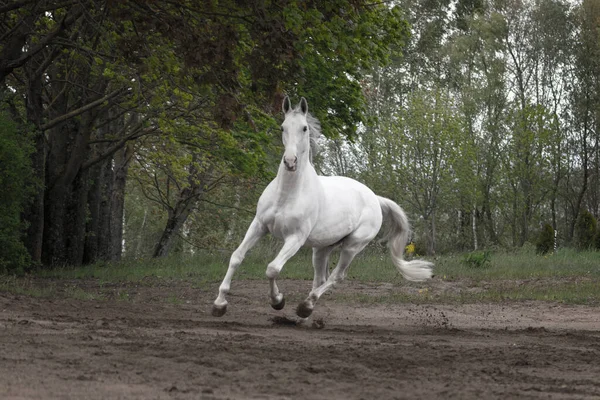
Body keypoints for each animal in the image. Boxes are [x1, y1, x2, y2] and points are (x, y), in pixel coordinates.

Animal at [213, 96, 434, 318]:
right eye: (282, 127)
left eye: (304, 128)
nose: (290, 162)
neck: (286, 195)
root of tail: (375, 198)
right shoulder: (258, 225)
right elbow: (236, 257)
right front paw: (220, 304)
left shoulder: (296, 238)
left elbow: (272, 268)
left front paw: (278, 301)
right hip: (322, 248)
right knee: (321, 278)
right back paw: (305, 310)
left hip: (352, 246)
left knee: (337, 276)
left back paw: (306, 306)